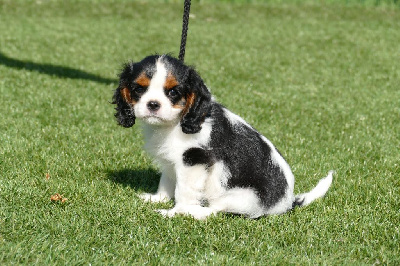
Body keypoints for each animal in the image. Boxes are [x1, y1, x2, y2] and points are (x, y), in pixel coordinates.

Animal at [111, 54, 332, 220]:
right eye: (139, 89)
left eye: (173, 92)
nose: (153, 104)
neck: (174, 124)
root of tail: (288, 202)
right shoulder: (171, 160)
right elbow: (167, 180)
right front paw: (159, 198)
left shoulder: (194, 159)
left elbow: (184, 190)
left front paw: (175, 212)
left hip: (241, 197)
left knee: (215, 210)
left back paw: (196, 213)